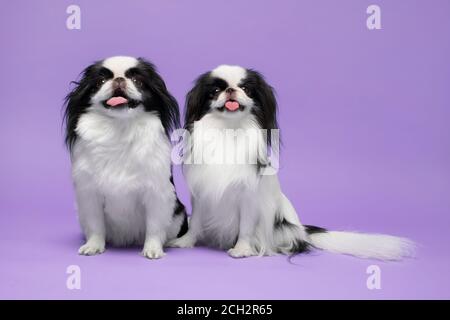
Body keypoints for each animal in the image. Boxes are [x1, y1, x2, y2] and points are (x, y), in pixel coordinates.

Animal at [64, 56, 187, 258]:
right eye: (100, 81)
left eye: (138, 81)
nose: (119, 79)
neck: (119, 129)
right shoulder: (90, 195)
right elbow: (96, 225)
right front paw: (93, 246)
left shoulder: (156, 194)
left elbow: (154, 227)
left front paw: (153, 249)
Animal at [170, 64, 414, 260]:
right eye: (215, 91)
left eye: (246, 89)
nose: (231, 90)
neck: (228, 130)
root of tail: (302, 230)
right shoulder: (201, 195)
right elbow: (196, 222)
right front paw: (185, 242)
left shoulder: (248, 198)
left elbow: (246, 227)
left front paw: (242, 249)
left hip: (284, 229)